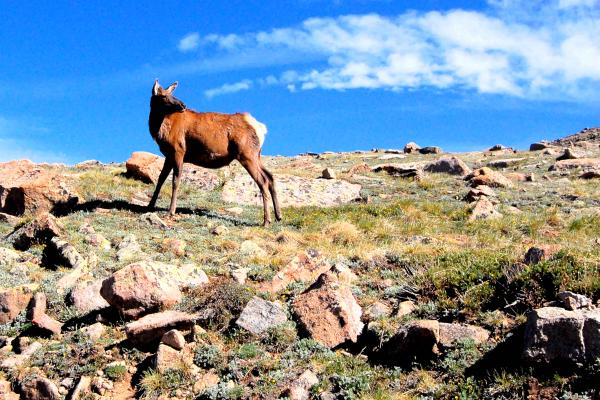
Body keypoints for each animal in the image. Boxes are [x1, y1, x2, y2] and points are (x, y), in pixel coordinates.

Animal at [149, 79, 282, 227]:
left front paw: (171, 211)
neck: (160, 131)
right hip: (256, 155)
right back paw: (278, 216)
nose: (183, 105)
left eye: (171, 94)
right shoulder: (168, 155)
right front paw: (150, 205)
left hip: (246, 154)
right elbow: (160, 179)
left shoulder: (178, 150)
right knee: (270, 177)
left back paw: (266, 220)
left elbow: (175, 181)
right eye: (163, 96)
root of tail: (260, 128)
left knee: (263, 181)